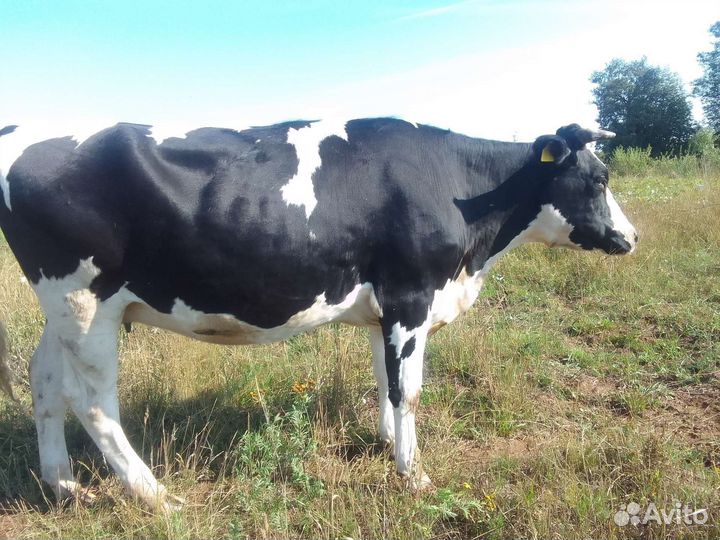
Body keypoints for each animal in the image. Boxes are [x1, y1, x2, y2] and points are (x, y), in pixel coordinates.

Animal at [0, 118, 637, 511]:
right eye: (598, 178)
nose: (632, 237)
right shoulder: (411, 295)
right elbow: (409, 389)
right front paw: (413, 473)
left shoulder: (387, 309)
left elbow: (385, 380)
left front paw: (387, 443)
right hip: (84, 302)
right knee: (93, 402)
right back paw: (156, 496)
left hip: (64, 307)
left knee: (44, 379)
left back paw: (63, 484)